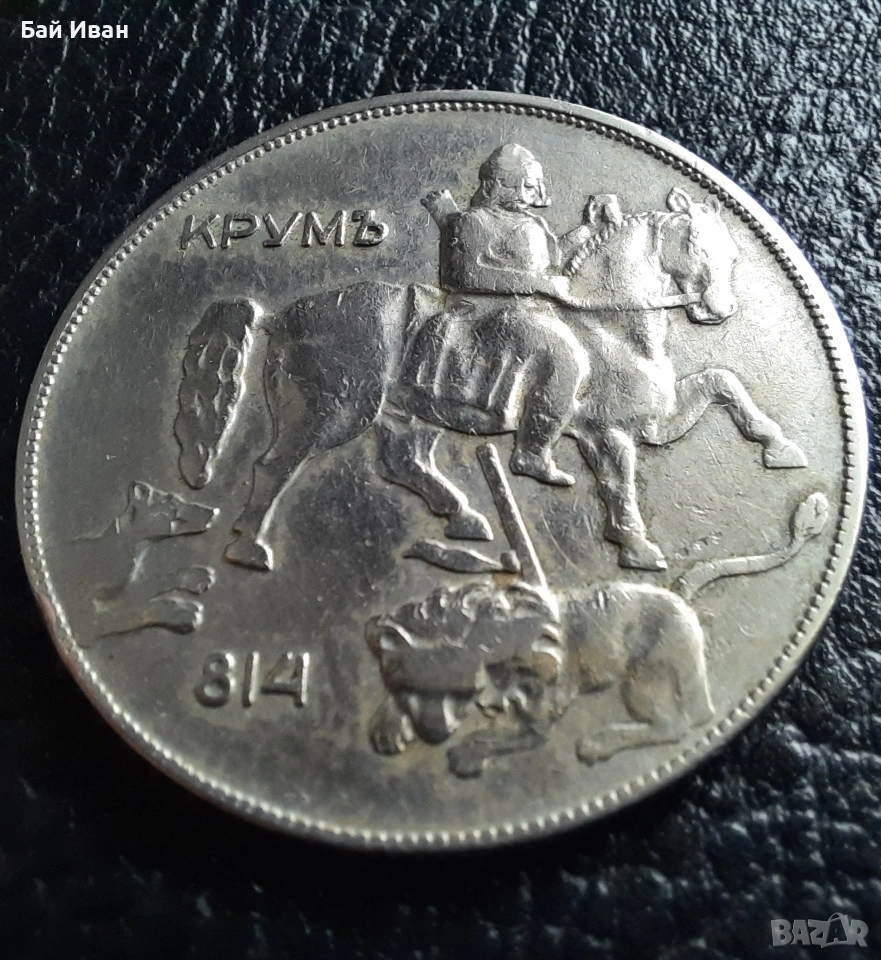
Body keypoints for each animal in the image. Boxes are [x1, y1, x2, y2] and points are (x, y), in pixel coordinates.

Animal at [174, 187, 805, 572]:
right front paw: (638, 545)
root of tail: (282, 317)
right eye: (696, 244)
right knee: (274, 466)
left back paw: (464, 517)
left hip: (409, 413)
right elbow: (619, 482)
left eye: (733, 254)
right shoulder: (607, 432)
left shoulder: (652, 421)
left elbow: (724, 380)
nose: (720, 311)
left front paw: (779, 448)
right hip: (334, 411)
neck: (609, 325)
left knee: (402, 461)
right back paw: (250, 550)